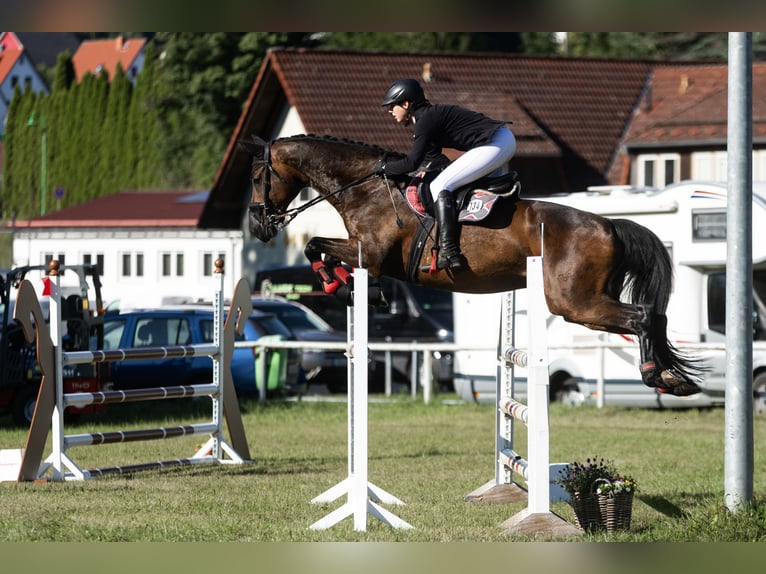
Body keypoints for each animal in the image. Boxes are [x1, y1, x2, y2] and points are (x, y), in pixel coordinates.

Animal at [243, 133, 703, 397]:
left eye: (257, 177)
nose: (257, 224)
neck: (366, 188)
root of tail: (608, 224)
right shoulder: (363, 253)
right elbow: (317, 250)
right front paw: (354, 288)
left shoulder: (370, 253)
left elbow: (314, 247)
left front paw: (342, 286)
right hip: (585, 300)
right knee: (654, 316)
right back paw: (673, 378)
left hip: (574, 303)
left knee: (641, 316)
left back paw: (657, 377)